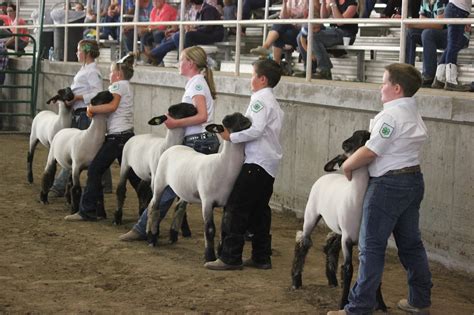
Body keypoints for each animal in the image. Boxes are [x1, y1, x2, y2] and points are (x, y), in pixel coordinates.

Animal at [147, 112, 252, 262]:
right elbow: (210, 229)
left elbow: (224, 229)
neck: (223, 166)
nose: (247, 121)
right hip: (159, 182)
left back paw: (173, 236)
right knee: (154, 207)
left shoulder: (227, 202)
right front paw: (209, 256)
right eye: (227, 121)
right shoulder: (207, 201)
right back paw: (152, 238)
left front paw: (220, 254)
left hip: (184, 190)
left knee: (178, 207)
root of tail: (173, 147)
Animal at [290, 130, 386, 312]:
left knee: (330, 245)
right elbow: (348, 269)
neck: (356, 198)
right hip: (311, 214)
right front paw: (343, 303)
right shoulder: (347, 239)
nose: (368, 133)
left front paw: (382, 305)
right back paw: (296, 281)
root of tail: (328, 176)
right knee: (303, 242)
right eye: (348, 144)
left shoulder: (364, 239)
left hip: (338, 227)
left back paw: (332, 280)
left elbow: (374, 270)